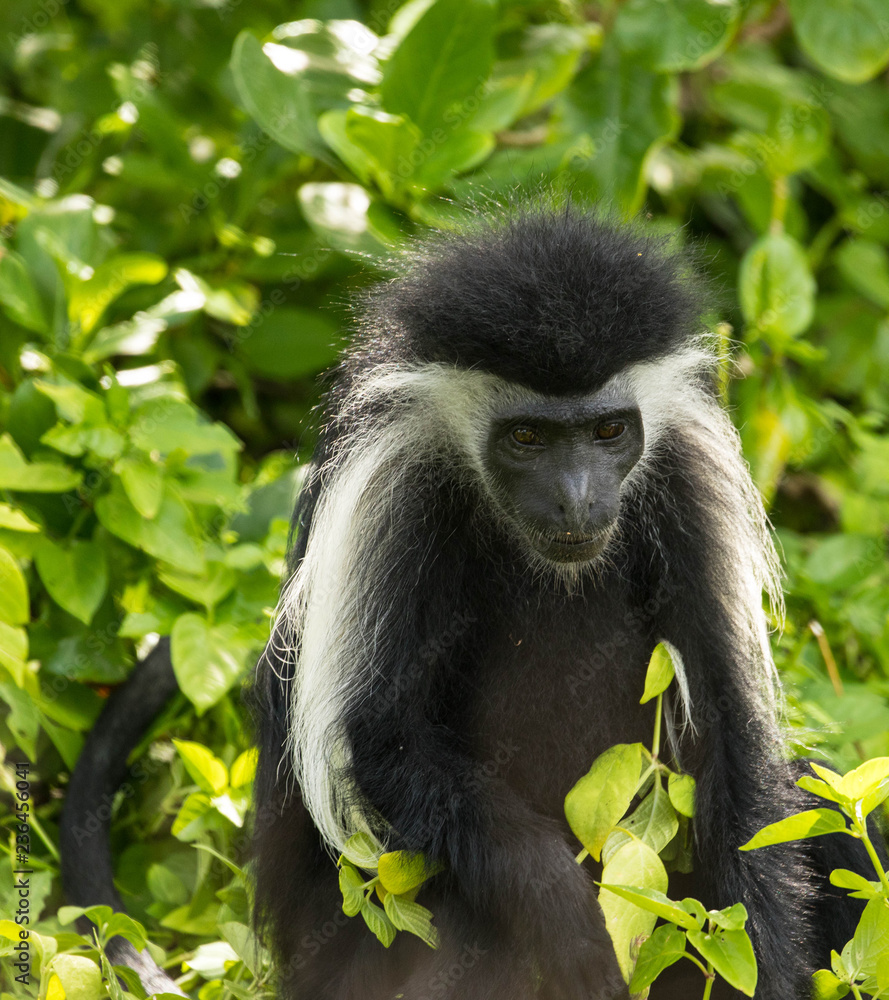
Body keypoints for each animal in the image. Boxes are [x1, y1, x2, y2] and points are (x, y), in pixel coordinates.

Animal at [62, 207, 876, 996]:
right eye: (526, 437)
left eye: (609, 430)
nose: (575, 498)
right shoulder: (395, 493)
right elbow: (383, 735)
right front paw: (566, 916)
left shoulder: (689, 480)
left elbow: (730, 746)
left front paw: (762, 971)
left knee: (823, 807)